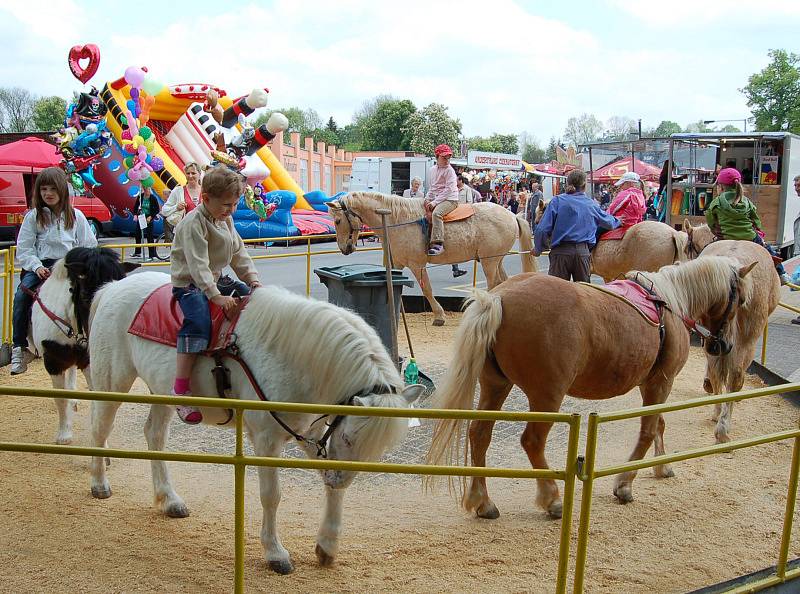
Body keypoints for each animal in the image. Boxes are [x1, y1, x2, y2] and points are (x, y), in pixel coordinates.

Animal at [77, 270, 422, 572]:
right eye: (350, 439)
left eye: (377, 450)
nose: (339, 478)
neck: (295, 357)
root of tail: (113, 287)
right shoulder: (268, 439)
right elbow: (271, 496)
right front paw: (275, 553)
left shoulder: (311, 432)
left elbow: (329, 489)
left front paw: (327, 546)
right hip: (113, 382)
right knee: (100, 427)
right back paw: (99, 483)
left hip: (164, 392)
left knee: (154, 435)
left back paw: (169, 499)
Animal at [428, 256, 752, 516]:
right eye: (741, 301)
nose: (723, 345)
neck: (669, 302)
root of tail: (499, 298)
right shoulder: (661, 382)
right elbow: (648, 431)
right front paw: (624, 484)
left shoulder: (654, 384)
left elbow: (658, 424)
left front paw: (662, 467)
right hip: (547, 396)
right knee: (532, 442)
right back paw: (552, 499)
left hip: (496, 385)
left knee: (479, 434)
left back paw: (482, 501)